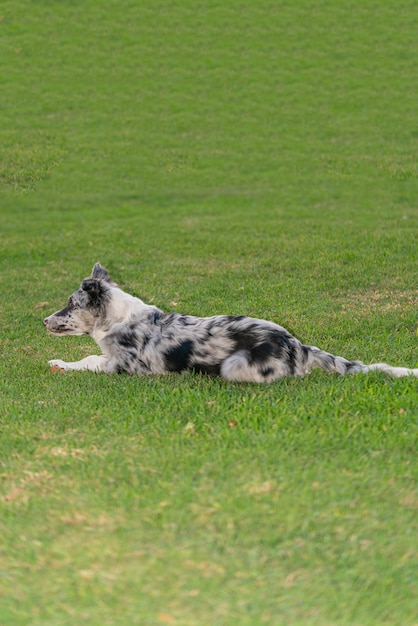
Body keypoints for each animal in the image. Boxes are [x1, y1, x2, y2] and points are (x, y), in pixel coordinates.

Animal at [44, 260, 416, 378]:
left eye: (70, 303)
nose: (44, 321)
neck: (118, 319)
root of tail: (299, 345)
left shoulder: (127, 365)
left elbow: (89, 359)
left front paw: (60, 363)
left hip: (233, 365)